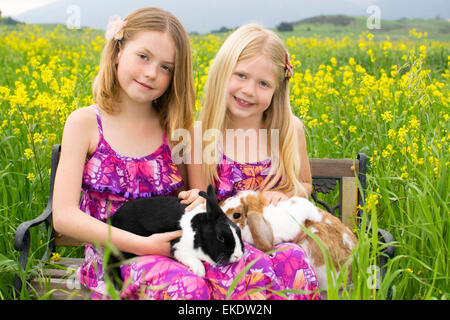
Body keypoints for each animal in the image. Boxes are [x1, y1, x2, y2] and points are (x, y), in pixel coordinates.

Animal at [107, 184, 244, 286]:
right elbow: (191, 258)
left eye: (238, 230)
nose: (238, 256)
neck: (198, 233)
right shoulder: (178, 247)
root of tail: (112, 220)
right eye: (220, 237)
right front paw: (199, 271)